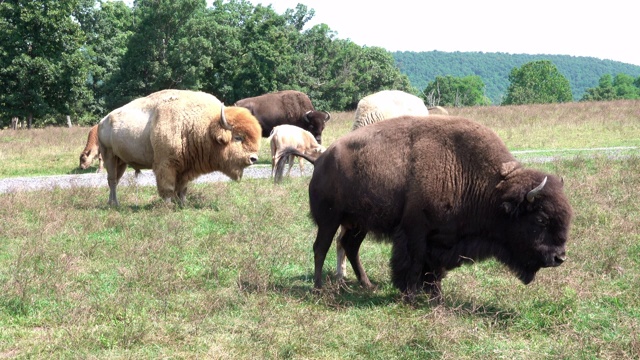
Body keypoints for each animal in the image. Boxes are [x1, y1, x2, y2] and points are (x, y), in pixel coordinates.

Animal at [98, 89, 262, 205]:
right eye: (238, 137)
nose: (253, 158)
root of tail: (102, 121)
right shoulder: (166, 165)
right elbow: (168, 188)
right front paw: (169, 205)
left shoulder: (186, 168)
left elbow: (182, 188)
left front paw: (183, 204)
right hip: (109, 156)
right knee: (112, 180)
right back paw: (115, 204)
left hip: (121, 161)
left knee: (115, 180)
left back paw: (111, 203)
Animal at [272, 115, 572, 300]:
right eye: (540, 220)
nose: (559, 257)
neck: (491, 188)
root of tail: (321, 161)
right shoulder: (415, 232)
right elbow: (413, 263)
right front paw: (411, 295)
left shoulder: (441, 239)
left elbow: (434, 269)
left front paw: (435, 295)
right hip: (329, 220)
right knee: (321, 247)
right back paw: (319, 288)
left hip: (359, 224)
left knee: (350, 246)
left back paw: (367, 285)